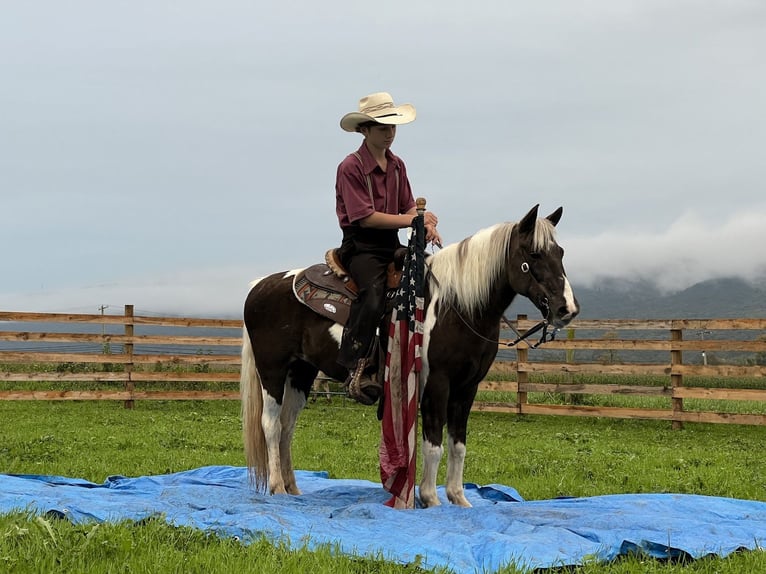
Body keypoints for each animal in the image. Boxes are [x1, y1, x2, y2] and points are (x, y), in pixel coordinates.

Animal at [243, 206, 580, 508]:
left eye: (561, 252)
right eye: (533, 255)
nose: (567, 309)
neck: (457, 305)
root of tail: (259, 285)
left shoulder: (467, 387)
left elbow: (458, 444)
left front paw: (459, 499)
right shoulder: (436, 384)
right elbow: (434, 445)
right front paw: (430, 498)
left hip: (301, 373)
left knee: (287, 427)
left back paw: (293, 488)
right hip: (272, 370)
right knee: (270, 424)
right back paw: (277, 487)